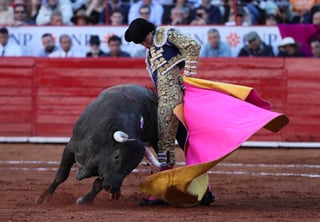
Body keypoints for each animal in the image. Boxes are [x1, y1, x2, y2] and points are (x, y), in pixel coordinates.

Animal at [36, 83, 186, 205]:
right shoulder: (71, 147)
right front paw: (43, 198)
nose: (112, 187)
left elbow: (98, 184)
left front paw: (84, 201)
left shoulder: (107, 172)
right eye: (116, 156)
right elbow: (61, 175)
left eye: (132, 166)